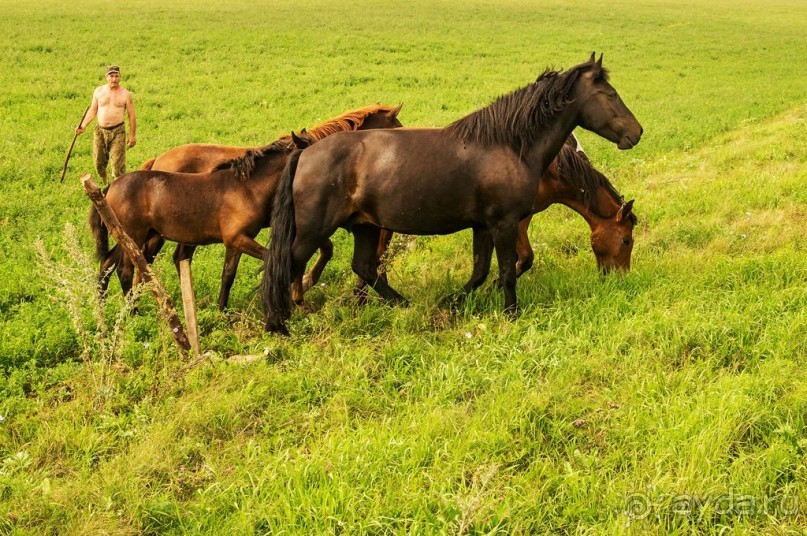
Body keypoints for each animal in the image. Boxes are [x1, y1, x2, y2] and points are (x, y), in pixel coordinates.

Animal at [91, 104, 404, 308]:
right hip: (146, 235)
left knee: (130, 262)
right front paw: (301, 288)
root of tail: (157, 160)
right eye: (398, 127)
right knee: (132, 264)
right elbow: (313, 253)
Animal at [264, 52, 644, 332]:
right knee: (285, 265)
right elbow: (508, 272)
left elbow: (480, 272)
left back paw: (405, 305)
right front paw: (511, 315)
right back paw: (278, 322)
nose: (637, 132)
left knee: (364, 267)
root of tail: (305, 152)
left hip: (365, 227)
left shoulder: (484, 226)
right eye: (610, 95)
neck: (509, 145)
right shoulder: (505, 224)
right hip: (313, 232)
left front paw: (452, 303)